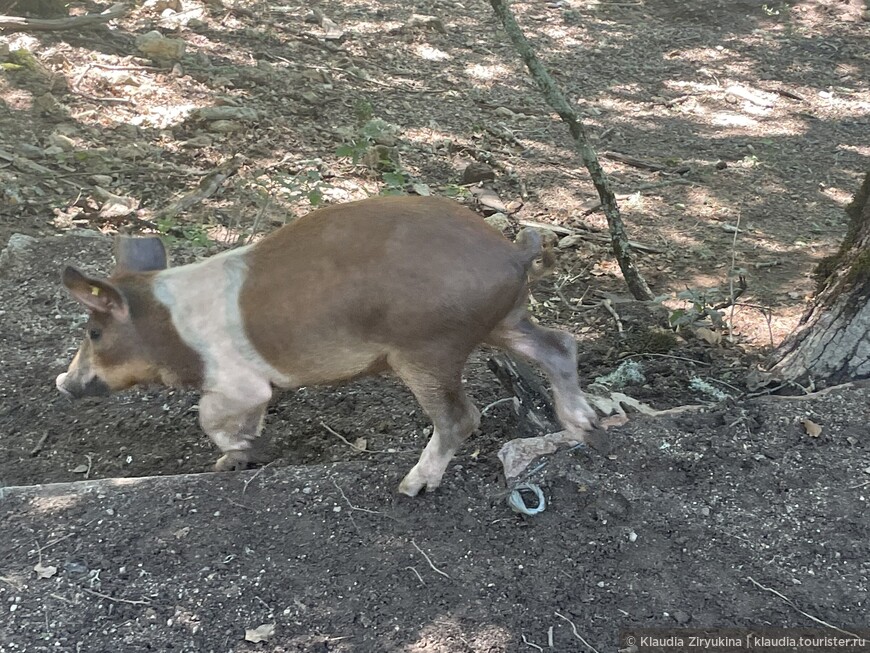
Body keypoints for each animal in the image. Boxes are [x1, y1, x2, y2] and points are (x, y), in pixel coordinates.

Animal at [56, 194, 600, 494]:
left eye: (94, 332)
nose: (63, 382)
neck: (170, 328)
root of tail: (512, 253)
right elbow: (245, 419)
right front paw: (232, 462)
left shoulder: (236, 380)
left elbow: (210, 418)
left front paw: (244, 451)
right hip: (503, 320)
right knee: (560, 344)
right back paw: (583, 425)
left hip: (429, 348)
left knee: (462, 418)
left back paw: (410, 487)